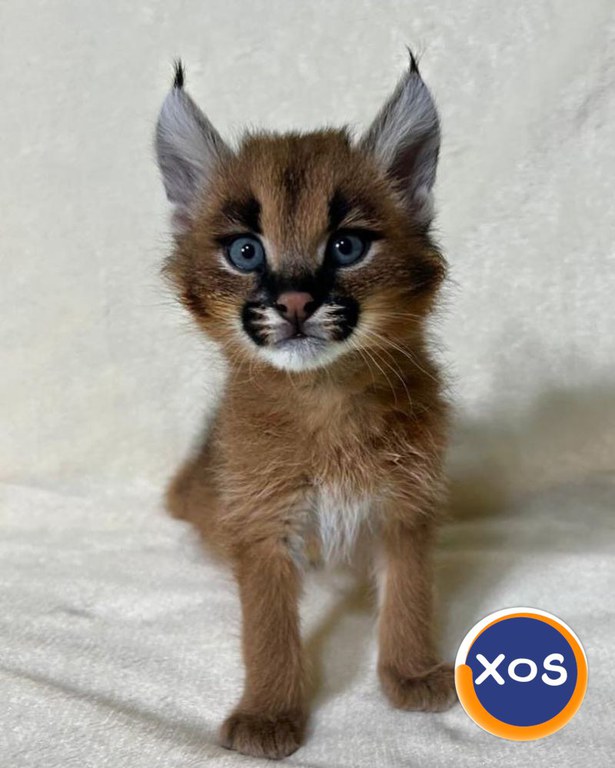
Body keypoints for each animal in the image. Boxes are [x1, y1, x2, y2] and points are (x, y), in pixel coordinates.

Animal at [155, 54, 456, 759]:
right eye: (245, 251)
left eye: (347, 247)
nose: (294, 302)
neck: (325, 398)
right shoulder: (262, 520)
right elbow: (267, 627)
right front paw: (269, 712)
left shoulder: (405, 503)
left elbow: (410, 592)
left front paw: (408, 672)